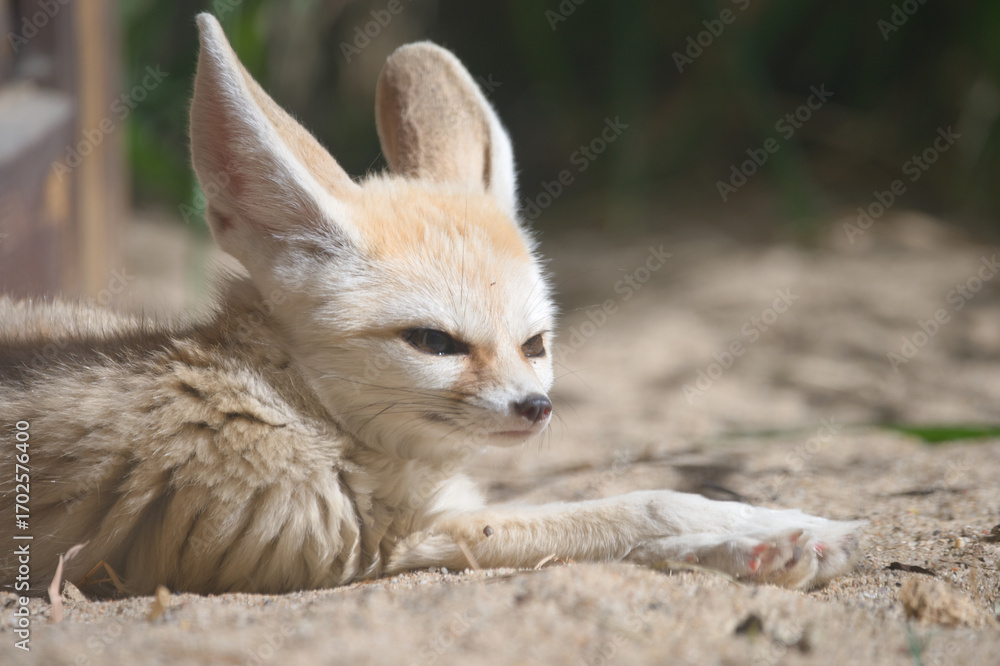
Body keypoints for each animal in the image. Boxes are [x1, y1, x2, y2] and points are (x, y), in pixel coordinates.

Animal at [0, 13, 862, 596]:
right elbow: (626, 511)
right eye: (435, 342)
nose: (537, 408)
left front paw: (783, 526)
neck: (289, 403)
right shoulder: (373, 549)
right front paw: (764, 546)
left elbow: (661, 495)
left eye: (536, 343)